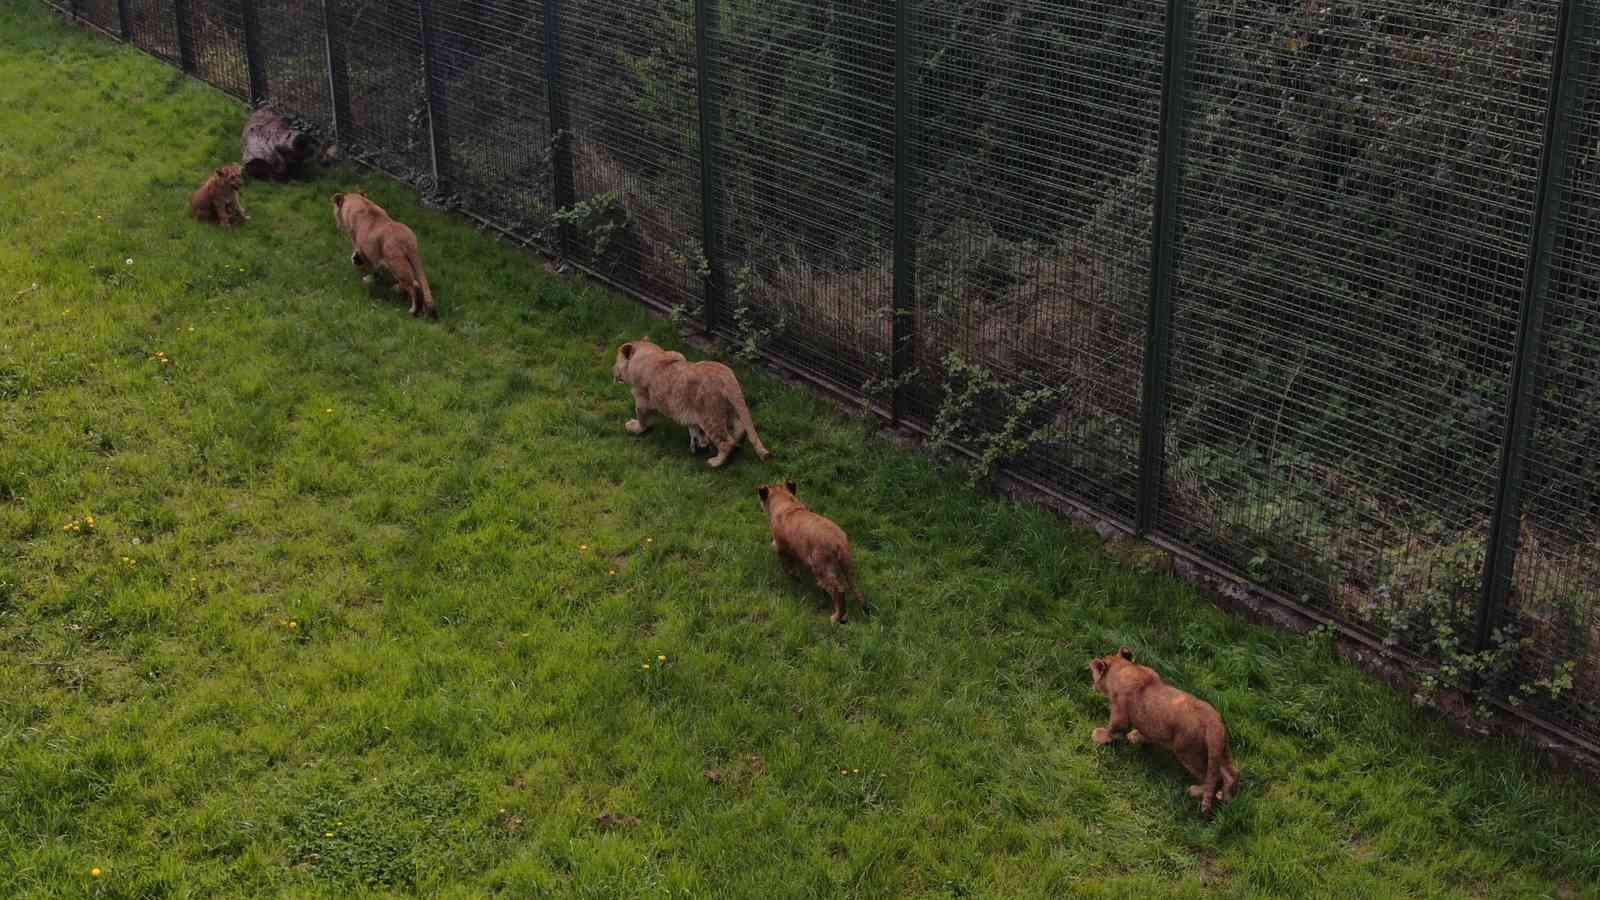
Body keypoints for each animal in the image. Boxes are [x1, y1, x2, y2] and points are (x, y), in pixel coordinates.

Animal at [611, 334, 768, 464]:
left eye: (616, 362)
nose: (612, 371)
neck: (650, 353)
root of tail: (728, 378)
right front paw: (698, 442)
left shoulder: (642, 399)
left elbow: (642, 419)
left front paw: (635, 427)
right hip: (728, 408)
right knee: (740, 428)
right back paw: (735, 444)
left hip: (710, 416)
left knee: (726, 442)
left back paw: (716, 462)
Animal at [758, 480, 864, 621]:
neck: (787, 505)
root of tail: (839, 542)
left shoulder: (784, 550)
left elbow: (789, 568)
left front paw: (794, 578)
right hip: (848, 567)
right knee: (857, 590)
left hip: (822, 569)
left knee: (839, 591)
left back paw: (836, 617)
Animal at [1088, 643, 1235, 813]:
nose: (1093, 685)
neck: (1125, 668)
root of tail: (1214, 721)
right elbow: (1146, 732)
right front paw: (1135, 736)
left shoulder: (1120, 714)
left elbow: (1114, 728)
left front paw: (1100, 736)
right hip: (1220, 749)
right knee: (1231, 773)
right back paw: (1226, 796)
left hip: (1188, 751)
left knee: (1213, 777)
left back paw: (1197, 790)